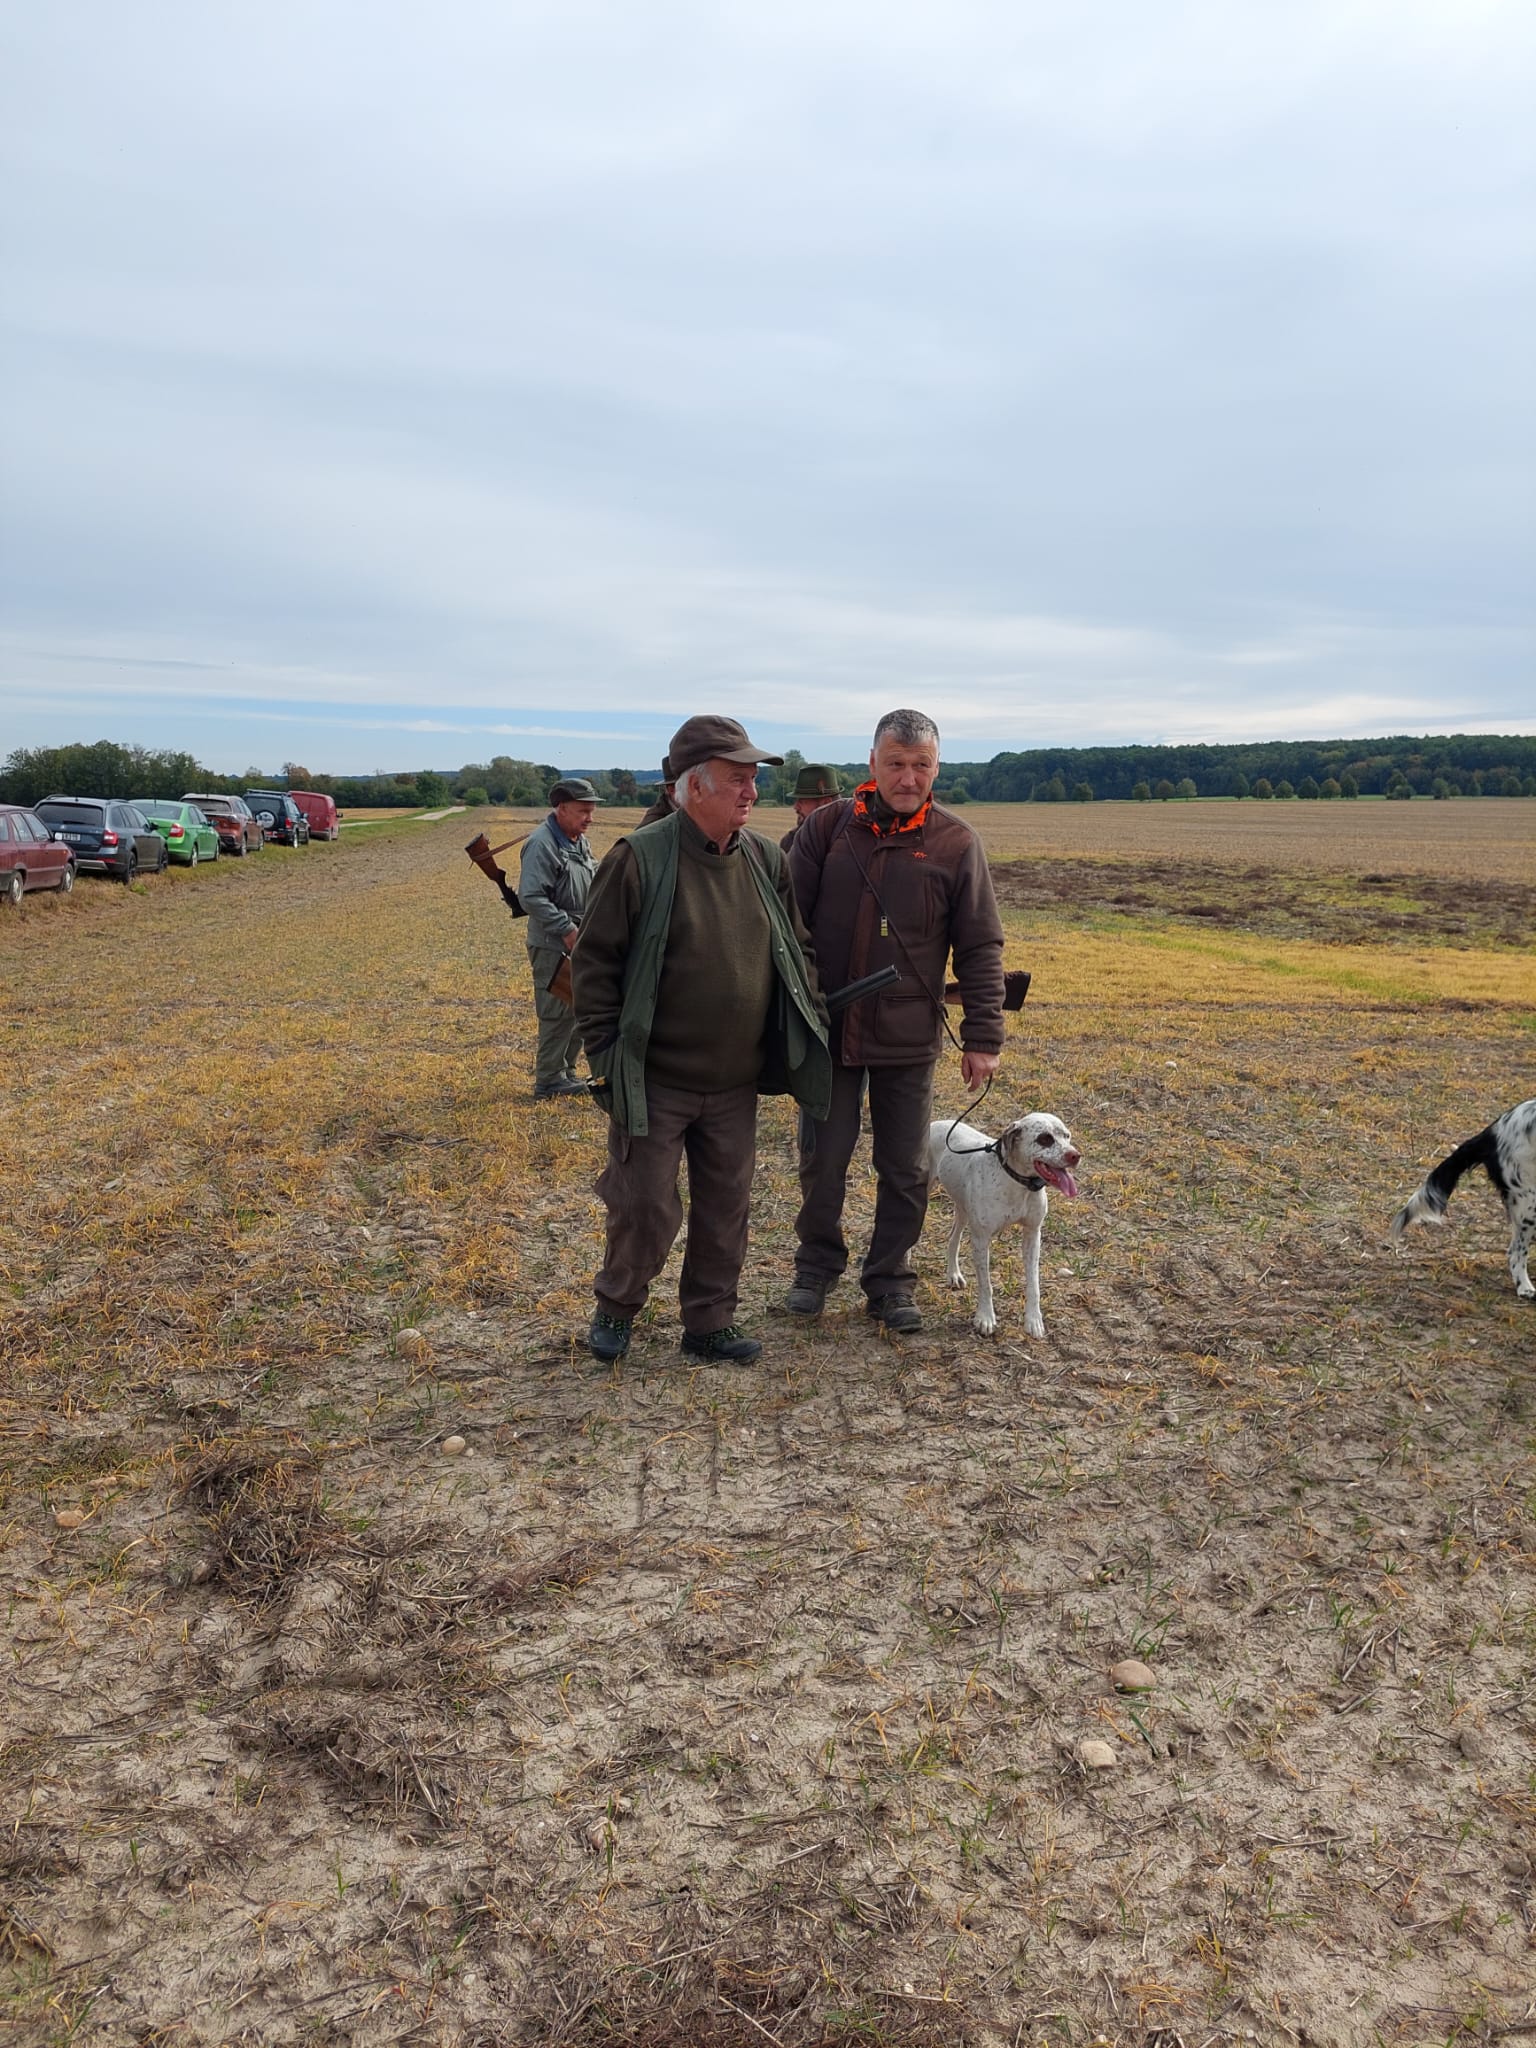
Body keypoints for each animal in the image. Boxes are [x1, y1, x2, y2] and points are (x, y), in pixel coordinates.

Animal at [928, 1114, 1080, 1337]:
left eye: (1067, 1136)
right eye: (1045, 1139)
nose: (1075, 1156)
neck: (1016, 1182)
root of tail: (934, 1123)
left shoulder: (1033, 1235)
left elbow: (1033, 1284)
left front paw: (1033, 1320)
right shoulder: (981, 1240)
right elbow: (986, 1284)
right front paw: (985, 1317)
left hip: (963, 1209)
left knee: (953, 1238)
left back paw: (953, 1274)